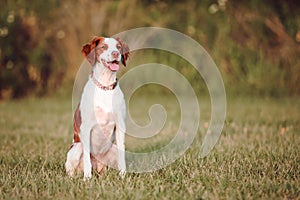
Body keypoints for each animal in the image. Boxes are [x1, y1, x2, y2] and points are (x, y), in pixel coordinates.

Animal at [65, 36, 129, 180]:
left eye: (118, 47)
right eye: (103, 47)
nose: (116, 53)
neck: (105, 87)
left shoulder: (120, 125)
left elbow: (123, 155)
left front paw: (123, 177)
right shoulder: (86, 128)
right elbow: (87, 160)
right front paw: (87, 179)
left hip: (111, 151)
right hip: (77, 147)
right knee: (72, 169)